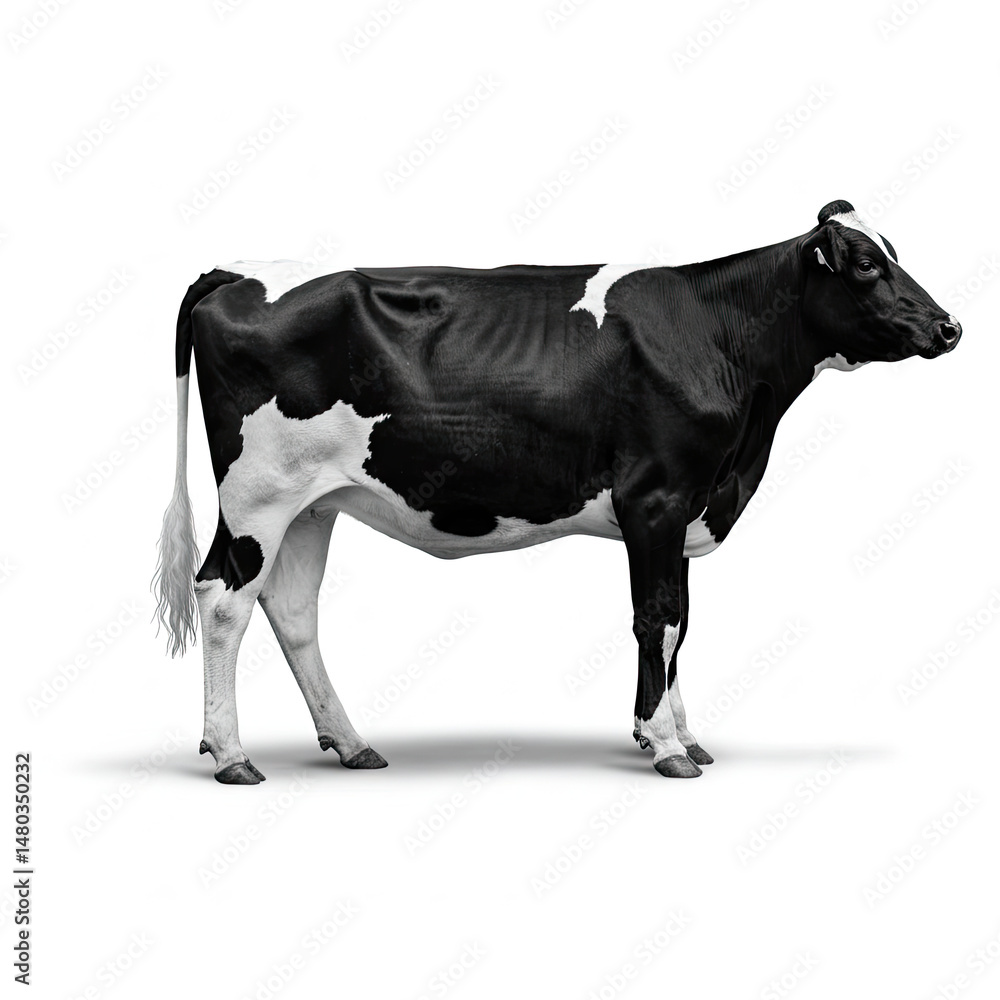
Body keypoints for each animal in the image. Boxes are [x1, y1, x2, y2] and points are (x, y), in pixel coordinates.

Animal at [153, 199, 961, 783]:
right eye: (865, 264)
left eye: (893, 251)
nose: (949, 326)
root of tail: (235, 270)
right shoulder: (657, 501)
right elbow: (657, 621)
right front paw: (663, 743)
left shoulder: (686, 508)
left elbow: (682, 625)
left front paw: (684, 734)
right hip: (257, 496)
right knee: (223, 600)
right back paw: (231, 755)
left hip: (313, 503)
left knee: (291, 610)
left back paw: (350, 743)